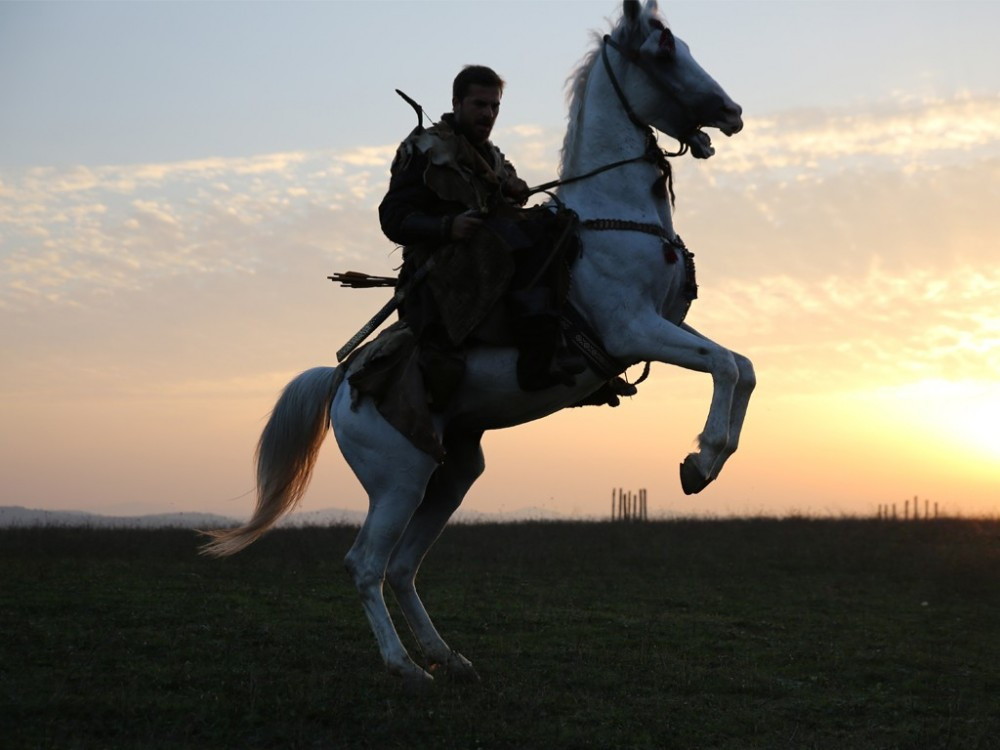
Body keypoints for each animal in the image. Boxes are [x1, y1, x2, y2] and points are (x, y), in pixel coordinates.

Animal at [201, 0, 752, 684]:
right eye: (666, 47)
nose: (731, 112)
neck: (612, 219)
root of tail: (342, 381)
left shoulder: (667, 326)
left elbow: (741, 365)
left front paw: (706, 458)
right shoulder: (633, 329)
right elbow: (724, 366)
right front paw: (701, 462)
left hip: (452, 473)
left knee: (403, 565)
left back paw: (445, 655)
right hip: (400, 478)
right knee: (365, 564)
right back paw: (405, 666)